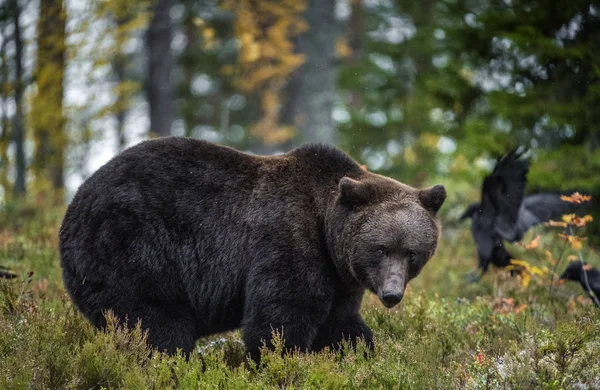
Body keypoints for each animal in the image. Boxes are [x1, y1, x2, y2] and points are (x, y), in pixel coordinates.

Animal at [58, 136, 446, 362]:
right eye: (380, 248)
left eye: (411, 252)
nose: (392, 294)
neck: (326, 228)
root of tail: (74, 202)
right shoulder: (288, 241)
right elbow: (280, 320)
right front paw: (282, 362)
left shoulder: (338, 278)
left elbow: (341, 325)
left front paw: (359, 355)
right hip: (131, 249)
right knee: (157, 326)